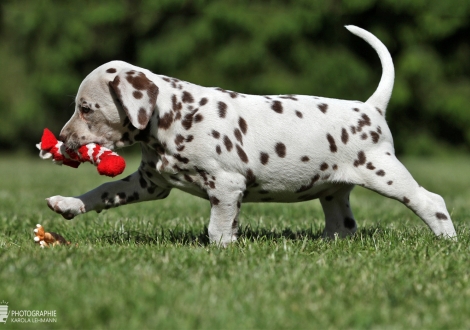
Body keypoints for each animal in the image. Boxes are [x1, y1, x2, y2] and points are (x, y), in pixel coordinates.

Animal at [46, 25, 456, 245]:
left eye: (86, 108)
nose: (62, 140)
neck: (175, 115)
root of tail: (370, 108)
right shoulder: (150, 183)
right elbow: (102, 192)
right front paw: (68, 203)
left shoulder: (226, 186)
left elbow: (218, 227)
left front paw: (222, 251)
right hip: (333, 190)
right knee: (344, 224)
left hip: (384, 172)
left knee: (430, 200)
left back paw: (447, 240)